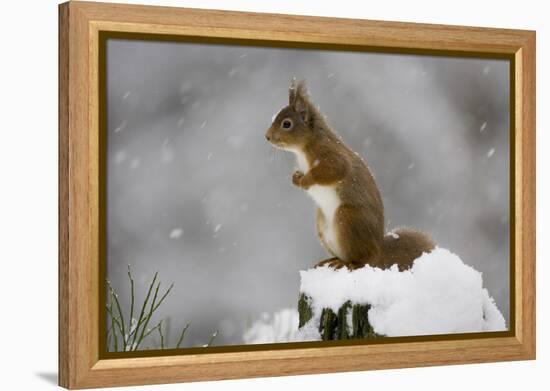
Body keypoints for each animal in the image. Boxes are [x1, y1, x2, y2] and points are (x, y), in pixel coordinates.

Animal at [266, 78, 436, 272]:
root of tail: (378, 251)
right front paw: (295, 178)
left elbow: (333, 170)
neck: (304, 148)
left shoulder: (330, 156)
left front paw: (306, 180)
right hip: (322, 224)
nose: (267, 136)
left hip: (347, 219)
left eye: (286, 124)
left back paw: (345, 263)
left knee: (361, 260)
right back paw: (331, 260)